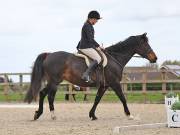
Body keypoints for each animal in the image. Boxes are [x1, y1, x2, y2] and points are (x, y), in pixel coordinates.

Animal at [24, 32, 157, 120]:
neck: (115, 58)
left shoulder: (104, 86)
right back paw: (44, 114)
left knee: (46, 95)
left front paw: (92, 115)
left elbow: (97, 99)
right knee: (45, 95)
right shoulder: (114, 83)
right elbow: (123, 98)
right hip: (54, 81)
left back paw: (43, 114)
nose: (155, 58)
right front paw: (129, 115)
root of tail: (49, 54)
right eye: (146, 45)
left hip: (54, 82)